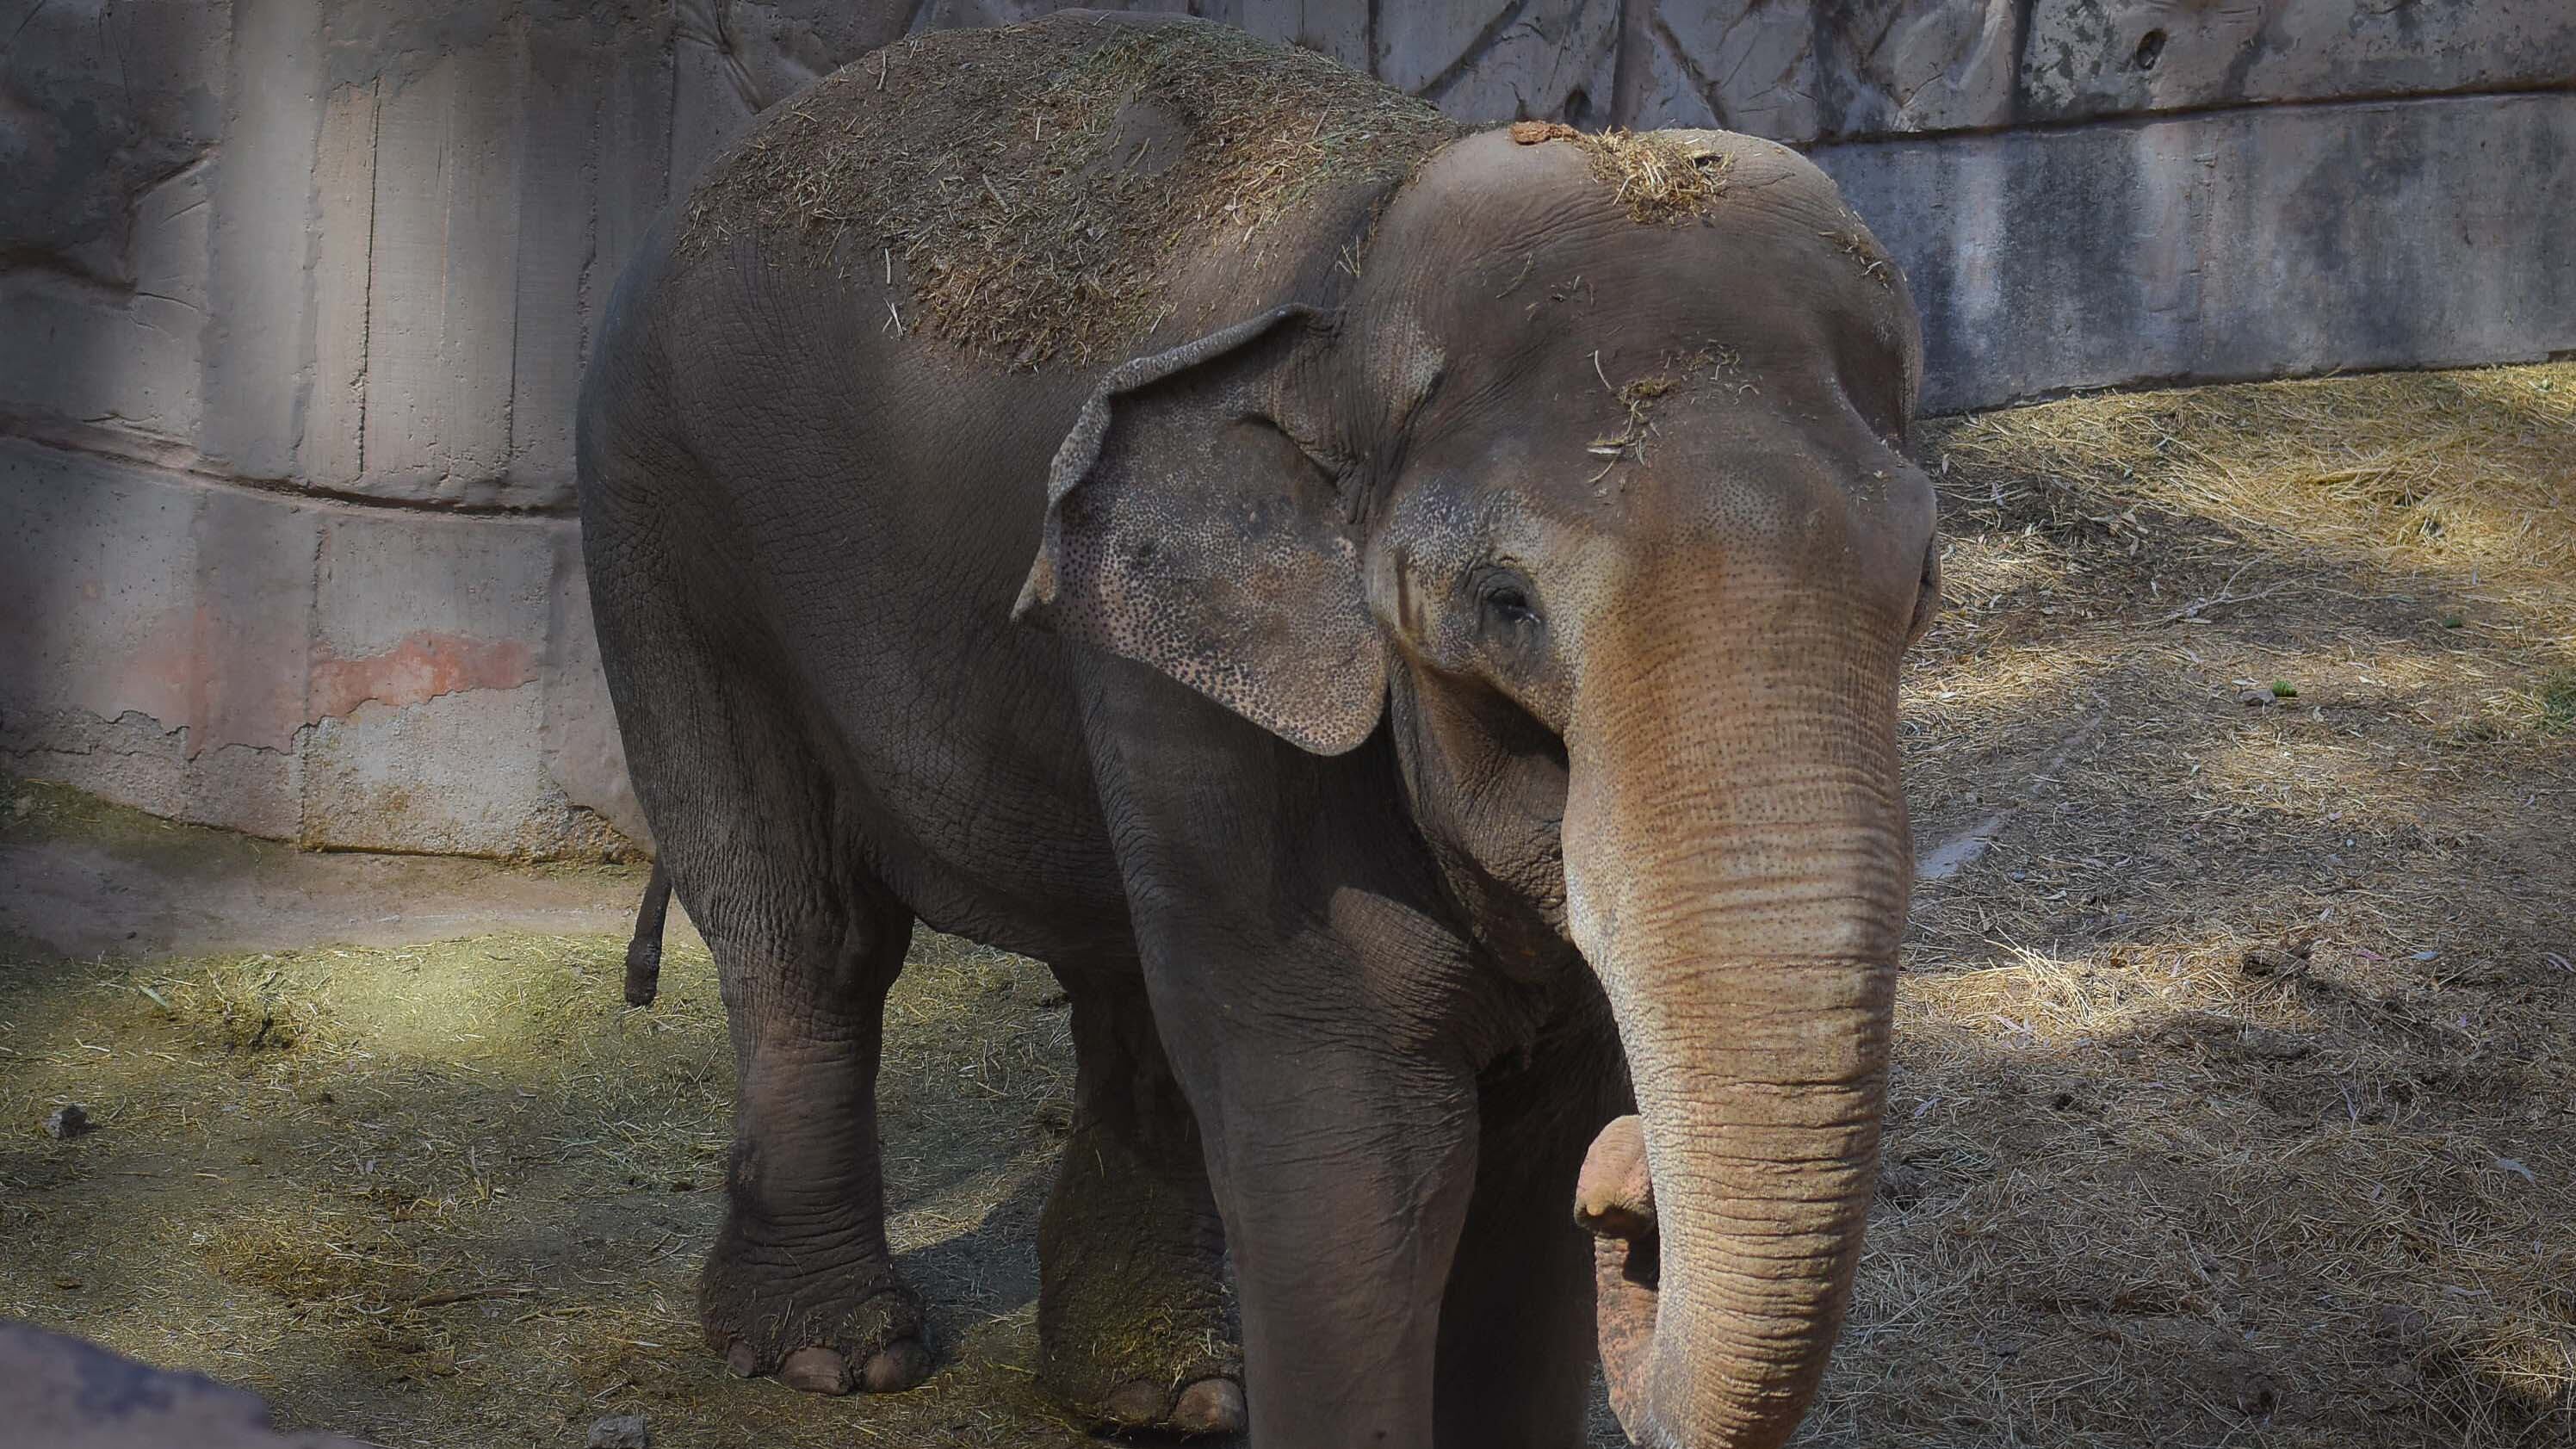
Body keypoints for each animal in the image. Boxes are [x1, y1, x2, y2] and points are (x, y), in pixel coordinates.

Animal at [579, 11, 1936, 1444]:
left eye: (1922, 585)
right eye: (1504, 603)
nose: (1630, 1205)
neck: (1358, 272)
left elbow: (1543, 1118)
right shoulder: (1216, 700)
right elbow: (1361, 1128)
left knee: (1126, 989)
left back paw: (1166, 1387)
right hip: (659, 525)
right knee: (806, 931)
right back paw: (833, 1357)